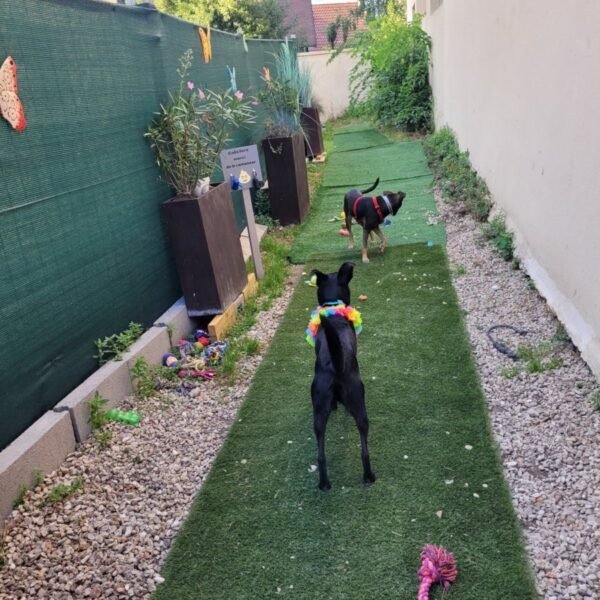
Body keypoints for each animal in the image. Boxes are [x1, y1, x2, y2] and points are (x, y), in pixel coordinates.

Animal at [310, 260, 376, 490]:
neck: (333, 310)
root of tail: (336, 366)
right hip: (359, 400)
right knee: (365, 449)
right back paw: (369, 476)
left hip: (318, 409)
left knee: (321, 455)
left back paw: (324, 484)